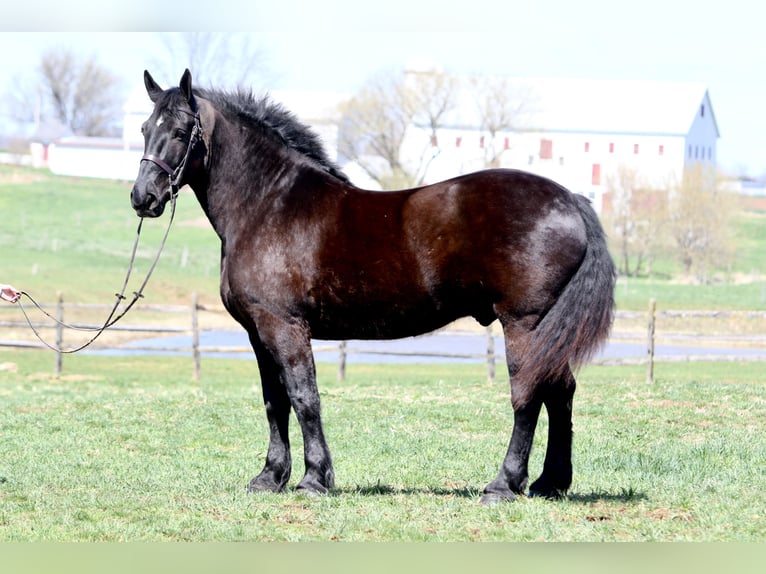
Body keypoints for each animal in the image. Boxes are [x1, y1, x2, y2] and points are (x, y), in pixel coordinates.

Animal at [130, 69, 616, 503]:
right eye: (144, 129)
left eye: (179, 132)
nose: (143, 198)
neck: (269, 204)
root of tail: (571, 200)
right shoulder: (257, 333)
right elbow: (275, 402)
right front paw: (270, 477)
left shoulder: (284, 327)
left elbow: (304, 398)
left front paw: (313, 479)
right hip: (547, 331)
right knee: (560, 392)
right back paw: (550, 483)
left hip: (524, 324)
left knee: (529, 396)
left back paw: (503, 485)